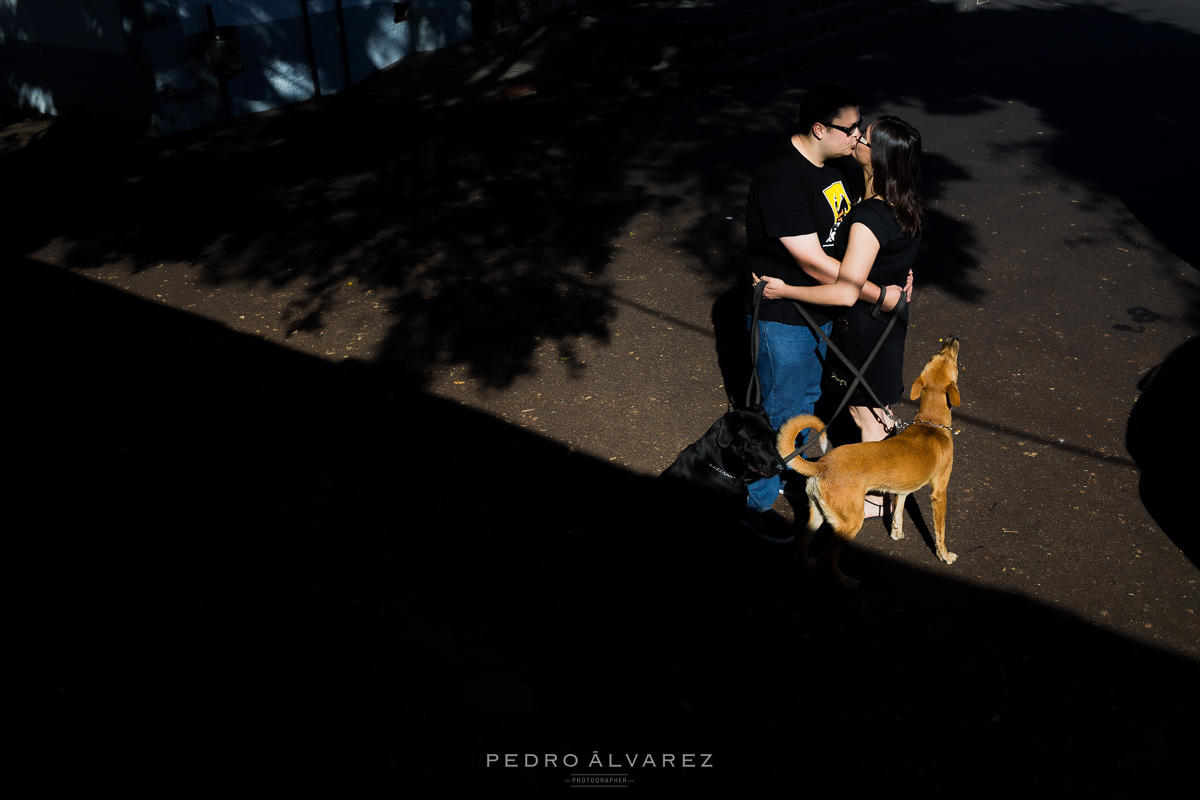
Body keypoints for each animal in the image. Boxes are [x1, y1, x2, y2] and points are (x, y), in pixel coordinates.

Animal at [777, 335, 964, 587]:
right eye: (949, 359)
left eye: (937, 355)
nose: (952, 339)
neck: (931, 424)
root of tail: (822, 465)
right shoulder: (939, 493)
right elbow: (940, 531)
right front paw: (944, 555)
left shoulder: (902, 490)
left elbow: (898, 511)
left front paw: (896, 532)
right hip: (850, 524)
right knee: (828, 554)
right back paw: (845, 580)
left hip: (817, 514)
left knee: (803, 540)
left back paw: (807, 564)